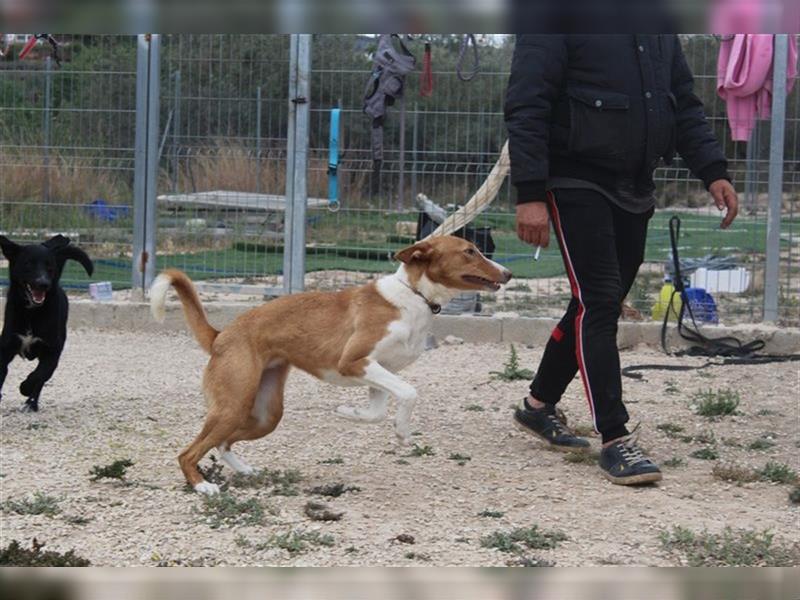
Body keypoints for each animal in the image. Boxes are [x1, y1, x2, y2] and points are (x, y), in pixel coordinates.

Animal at [0, 234, 93, 412]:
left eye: (49, 266)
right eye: (28, 263)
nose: (43, 283)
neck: (32, 312)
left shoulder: (52, 351)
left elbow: (39, 375)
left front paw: (25, 388)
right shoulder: (6, 347)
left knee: (41, 379)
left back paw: (31, 403)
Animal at [151, 234, 512, 492]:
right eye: (469, 251)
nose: (508, 273)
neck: (413, 297)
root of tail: (221, 334)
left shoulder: (380, 370)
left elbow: (377, 411)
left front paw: (348, 412)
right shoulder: (353, 361)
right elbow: (409, 393)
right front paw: (401, 429)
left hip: (266, 414)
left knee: (223, 443)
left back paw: (245, 471)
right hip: (233, 404)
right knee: (188, 452)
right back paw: (203, 486)